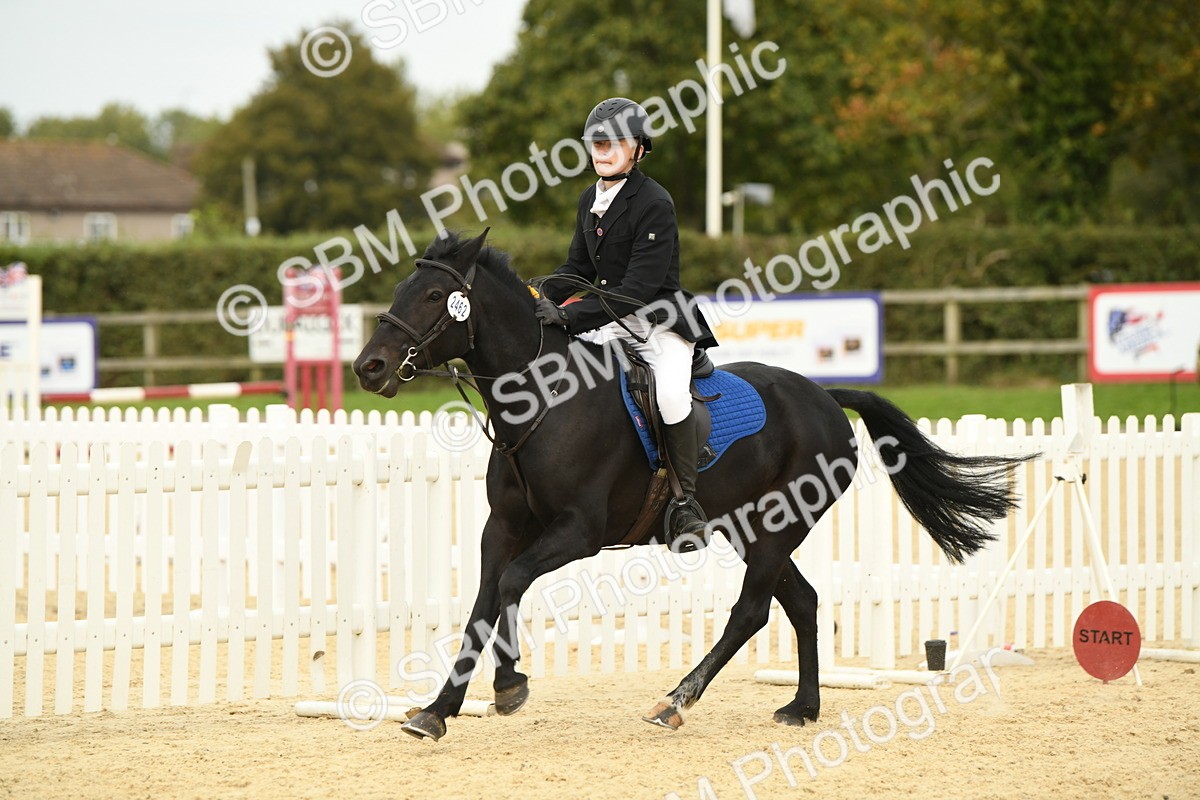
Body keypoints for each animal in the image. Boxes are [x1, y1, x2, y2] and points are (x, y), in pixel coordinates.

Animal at [353, 229, 1031, 741]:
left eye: (436, 295)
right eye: (401, 290)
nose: (369, 367)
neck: (544, 400)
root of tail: (825, 396)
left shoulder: (578, 532)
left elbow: (514, 584)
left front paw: (509, 685)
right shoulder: (504, 527)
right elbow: (482, 603)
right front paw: (437, 712)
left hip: (778, 526)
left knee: (752, 611)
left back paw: (674, 702)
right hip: (750, 525)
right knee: (801, 601)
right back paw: (802, 707)